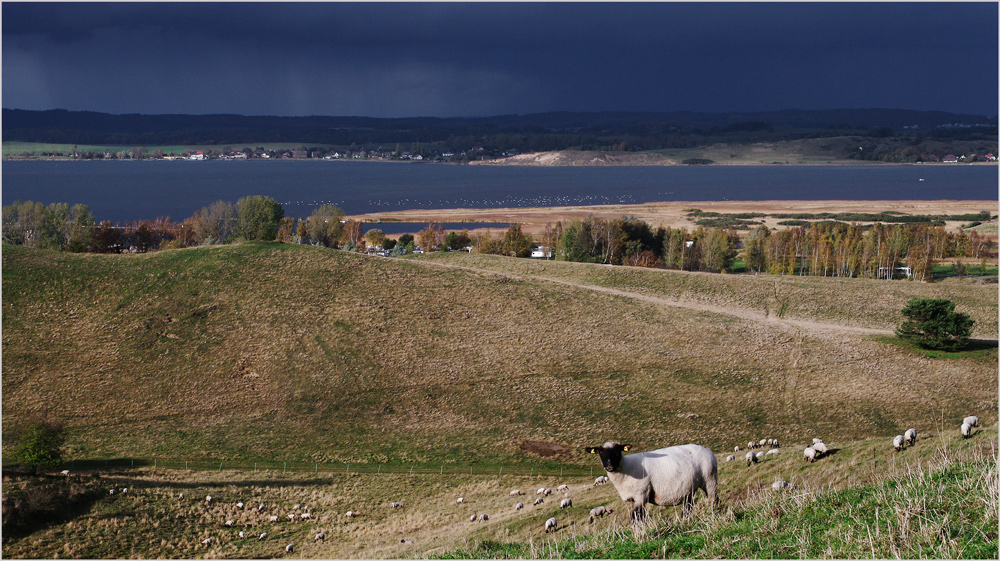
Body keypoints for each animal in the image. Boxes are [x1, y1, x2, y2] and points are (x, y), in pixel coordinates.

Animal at [584, 438, 720, 520]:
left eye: (617, 450)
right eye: (600, 452)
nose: (609, 466)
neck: (625, 468)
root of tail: (708, 450)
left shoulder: (641, 494)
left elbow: (637, 518)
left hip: (710, 479)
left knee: (713, 499)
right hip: (690, 487)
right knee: (689, 506)